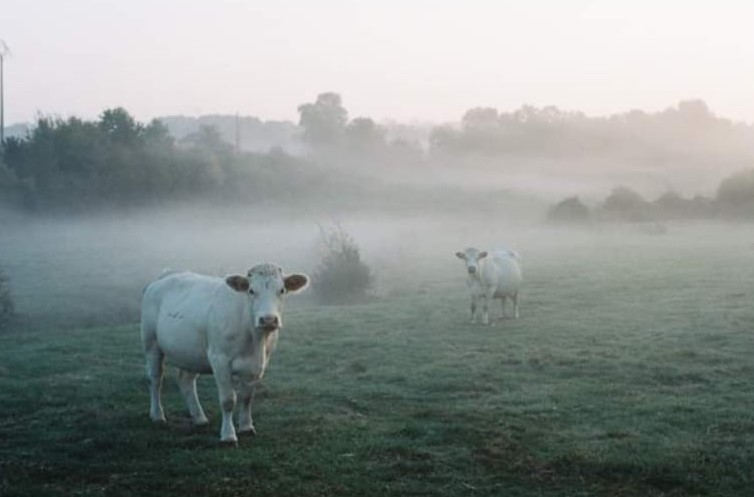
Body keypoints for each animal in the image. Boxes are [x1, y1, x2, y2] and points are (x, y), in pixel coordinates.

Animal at [140, 264, 306, 442]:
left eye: (282, 290)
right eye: (251, 290)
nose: (268, 319)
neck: (254, 340)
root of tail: (165, 275)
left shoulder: (257, 364)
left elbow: (246, 398)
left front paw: (246, 427)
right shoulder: (220, 360)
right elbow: (228, 400)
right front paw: (228, 435)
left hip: (190, 352)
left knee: (186, 381)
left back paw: (199, 418)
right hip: (151, 344)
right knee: (155, 379)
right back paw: (157, 415)